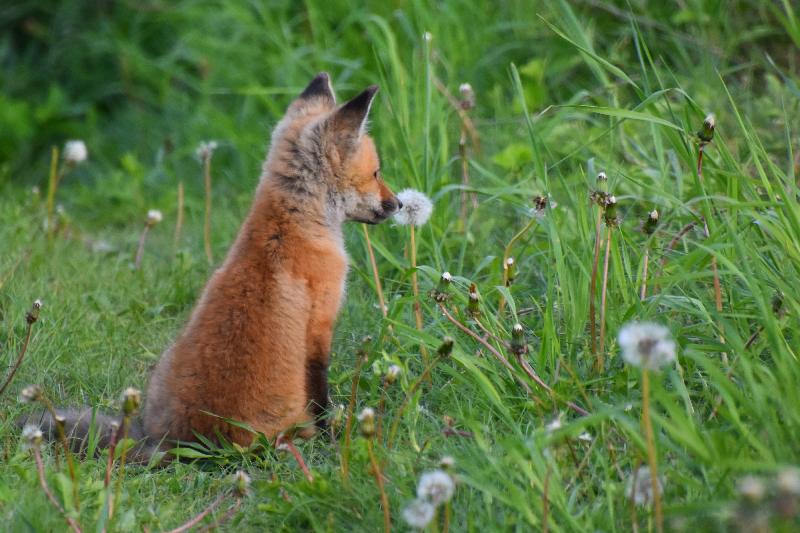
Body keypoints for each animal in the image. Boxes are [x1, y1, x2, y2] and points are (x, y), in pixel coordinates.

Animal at [22, 72, 404, 460]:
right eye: (376, 173)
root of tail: (182, 446)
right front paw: (332, 437)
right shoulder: (318, 328)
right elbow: (320, 395)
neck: (289, 223)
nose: (399, 204)